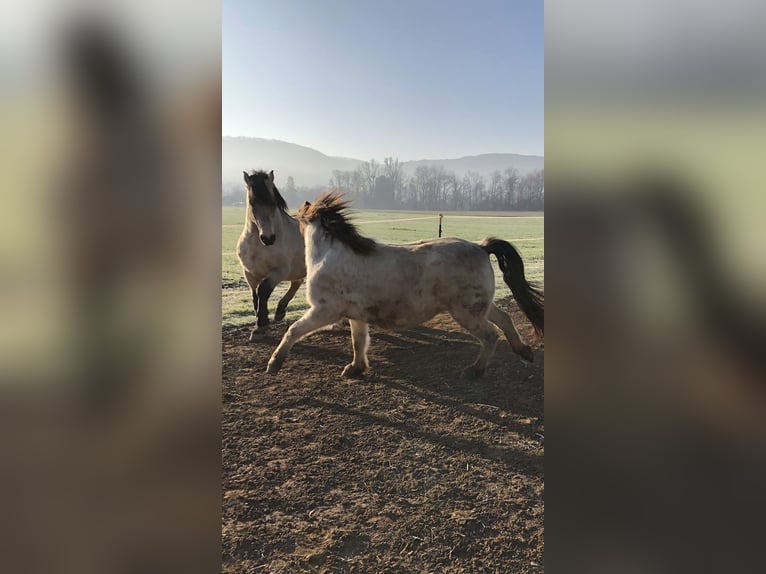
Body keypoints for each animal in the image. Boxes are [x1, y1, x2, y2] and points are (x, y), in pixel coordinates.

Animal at [237, 171, 306, 342]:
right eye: (252, 203)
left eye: (273, 203)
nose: (268, 238)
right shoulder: (249, 273)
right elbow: (255, 295)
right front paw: (260, 320)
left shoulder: (279, 272)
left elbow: (263, 290)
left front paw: (261, 325)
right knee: (296, 283)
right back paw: (280, 311)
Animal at [268, 192, 544, 378]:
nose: (271, 239)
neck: (331, 254)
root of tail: (481, 246)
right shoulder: (356, 315)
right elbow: (359, 341)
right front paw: (355, 368)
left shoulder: (324, 311)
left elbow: (293, 330)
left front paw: (274, 363)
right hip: (479, 306)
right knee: (505, 319)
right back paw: (524, 351)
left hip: (467, 312)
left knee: (490, 335)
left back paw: (475, 370)